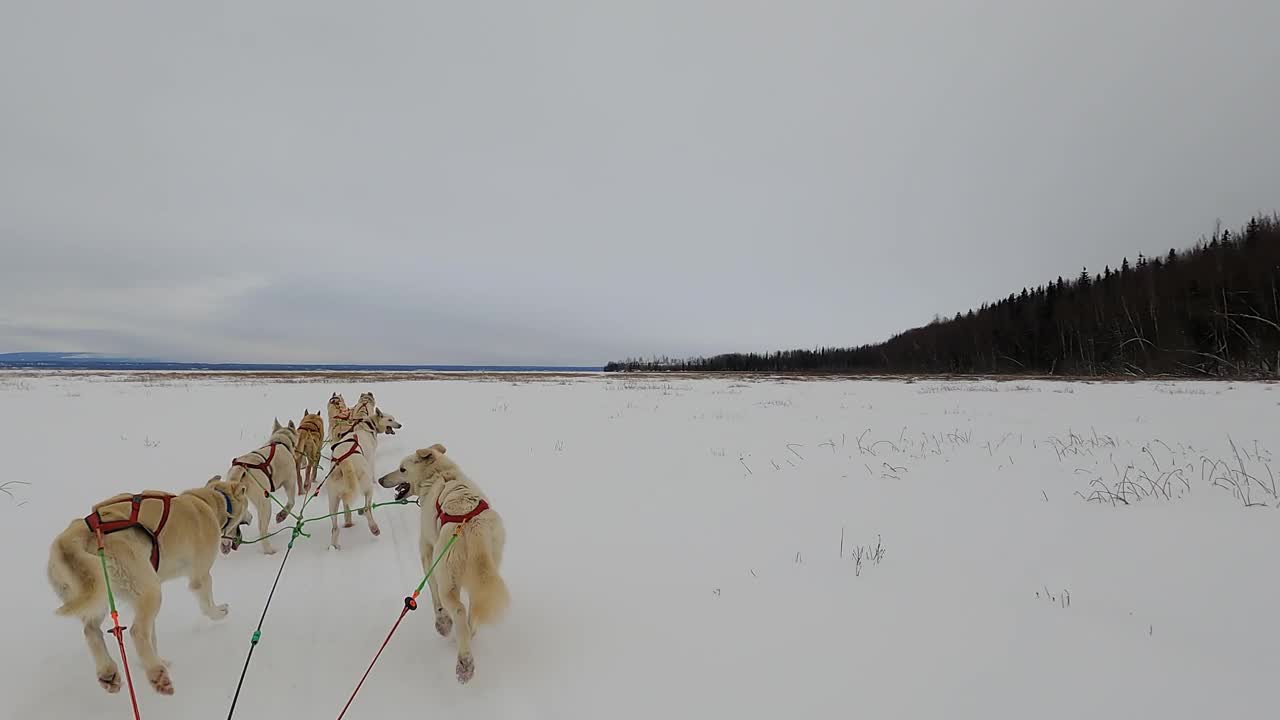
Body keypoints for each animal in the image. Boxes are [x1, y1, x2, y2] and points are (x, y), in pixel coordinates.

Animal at [46, 474, 254, 691]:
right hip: (150, 590)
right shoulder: (201, 576)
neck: (210, 501)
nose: (251, 517)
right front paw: (219, 612)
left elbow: (152, 633)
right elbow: (207, 605)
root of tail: (73, 537)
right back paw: (156, 673)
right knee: (137, 631)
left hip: (100, 593)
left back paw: (111, 672)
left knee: (91, 630)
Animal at [227, 417, 299, 550]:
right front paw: (282, 515)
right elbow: (291, 502)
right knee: (262, 529)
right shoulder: (290, 481)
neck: (280, 441)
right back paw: (269, 549)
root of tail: (242, 470)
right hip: (265, 503)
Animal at [322, 407, 396, 545]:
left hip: (334, 500)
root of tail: (344, 463)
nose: (400, 424)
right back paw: (373, 527)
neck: (366, 426)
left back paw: (336, 543)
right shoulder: (371, 459)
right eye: (390, 419)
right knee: (367, 508)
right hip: (367, 487)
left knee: (335, 526)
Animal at [373, 443, 504, 681]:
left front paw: (442, 621)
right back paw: (466, 637)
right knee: (474, 611)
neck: (440, 475)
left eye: (402, 469)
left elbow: (432, 592)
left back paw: (464, 661)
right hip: (485, 573)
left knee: (458, 609)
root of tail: (475, 529)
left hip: (447, 578)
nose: (379, 479)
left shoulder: (427, 550)